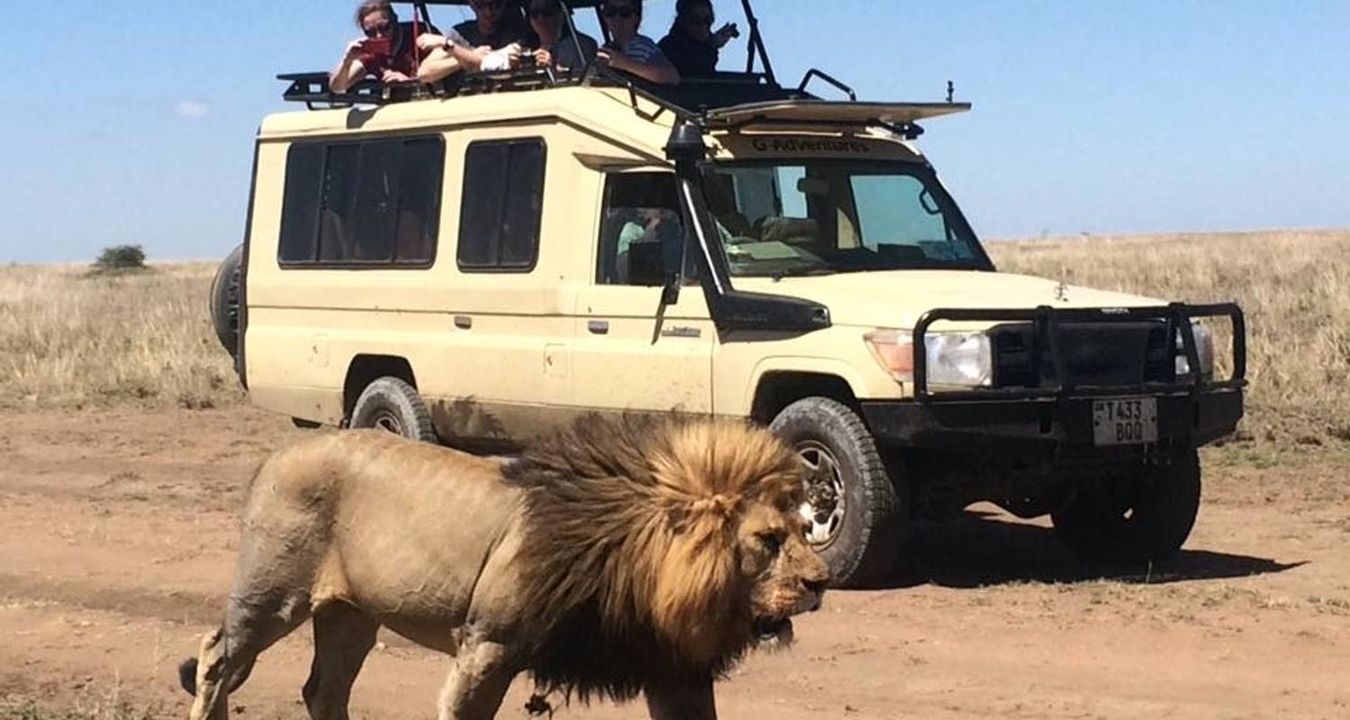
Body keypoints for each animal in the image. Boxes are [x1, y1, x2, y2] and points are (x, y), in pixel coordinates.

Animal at [177, 412, 829, 719]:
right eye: (767, 539)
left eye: (806, 530)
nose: (821, 583)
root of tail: (277, 454)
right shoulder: (487, 646)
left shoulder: (672, 668)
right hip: (272, 597)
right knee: (216, 658)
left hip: (351, 614)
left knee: (323, 689)